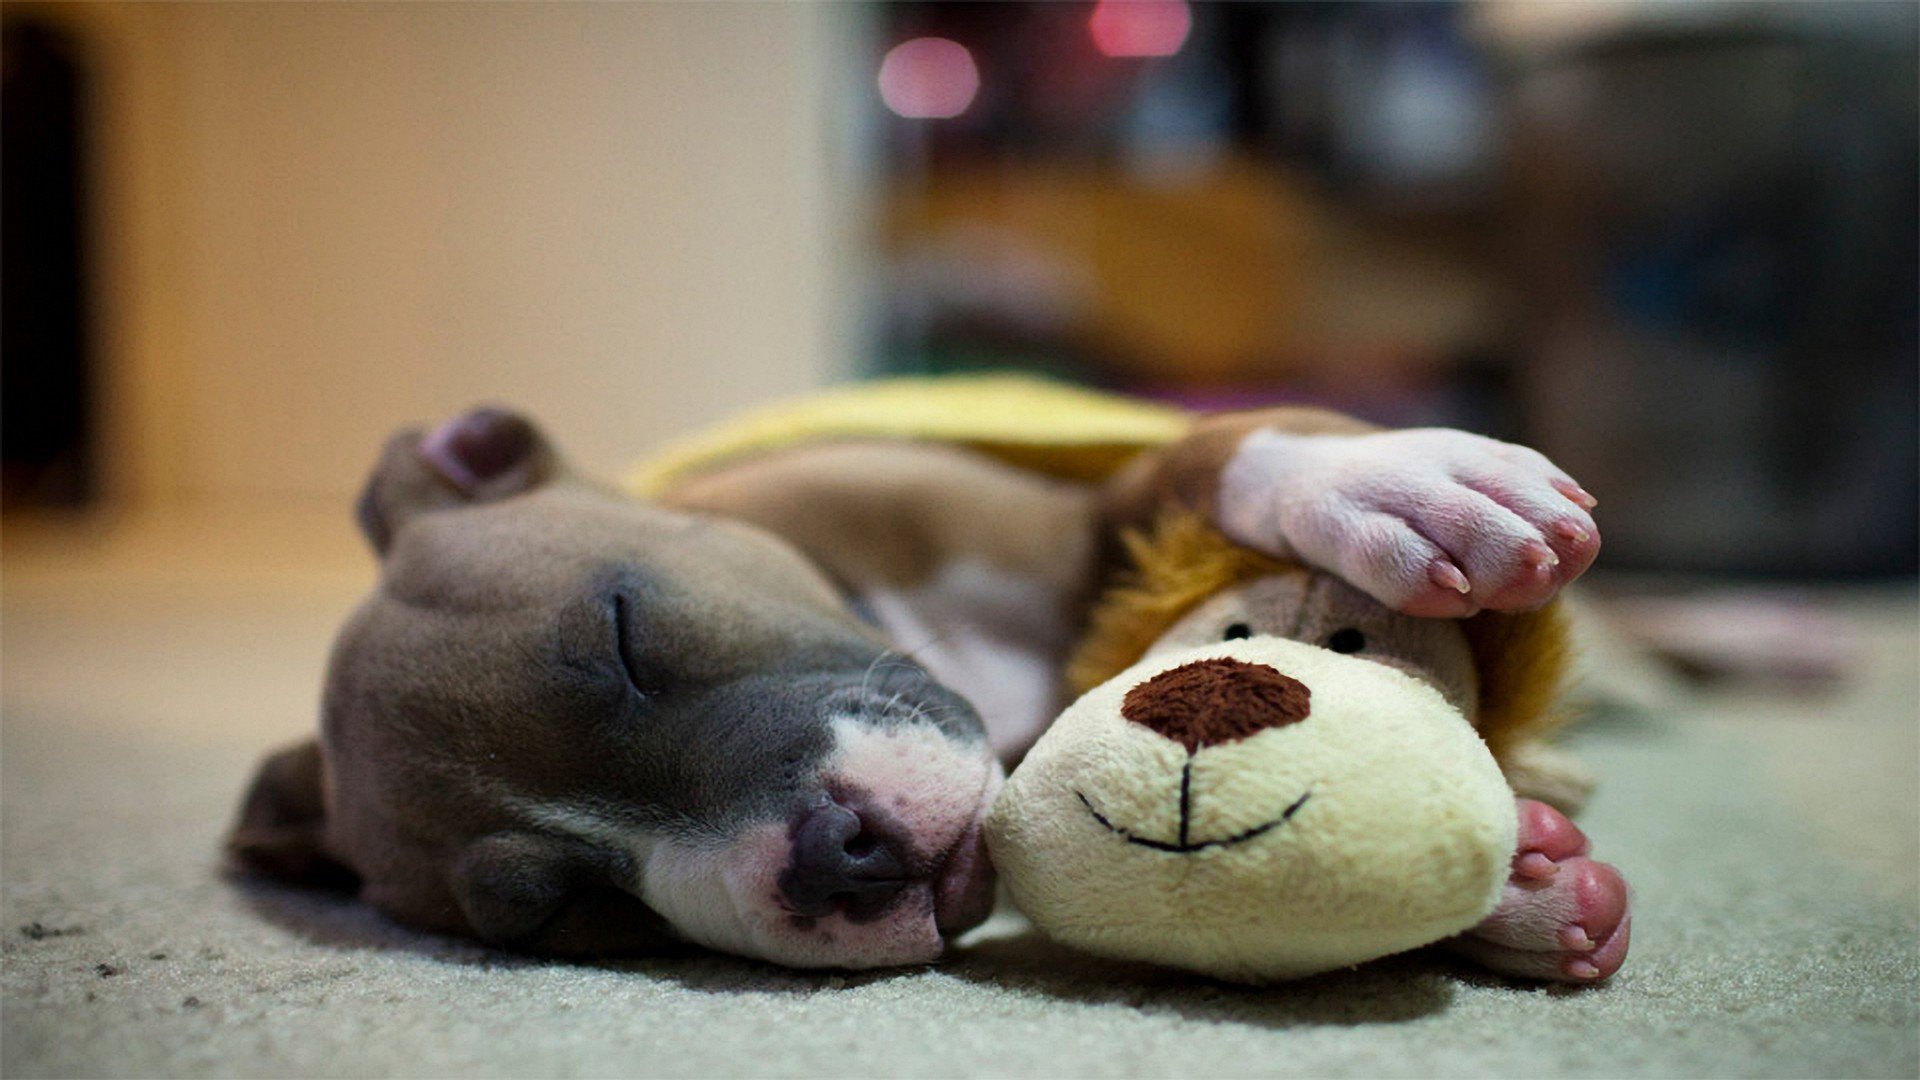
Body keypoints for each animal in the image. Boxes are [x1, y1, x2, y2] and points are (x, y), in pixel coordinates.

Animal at [236, 399, 1620, 972]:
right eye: (553, 911)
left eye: (624, 633)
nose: (834, 858)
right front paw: (1524, 887)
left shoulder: (1073, 514)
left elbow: (1206, 452)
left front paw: (1395, 486)